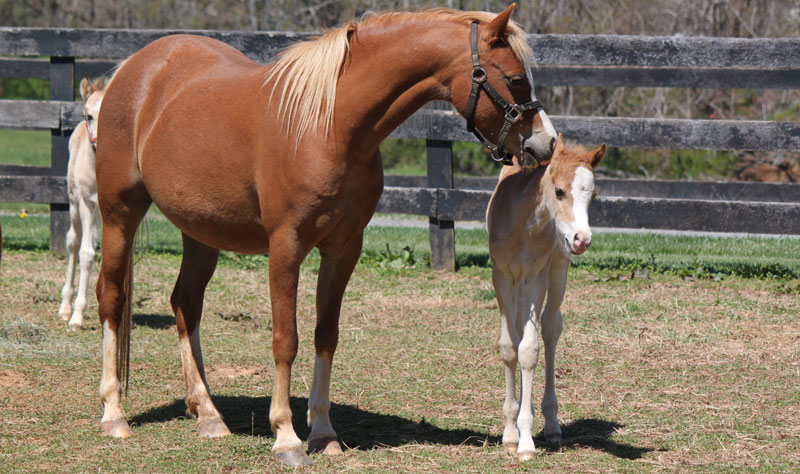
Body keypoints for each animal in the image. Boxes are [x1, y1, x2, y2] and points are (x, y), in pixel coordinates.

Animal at [95, 3, 556, 464]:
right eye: (516, 79)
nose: (546, 144)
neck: (329, 126)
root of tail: (133, 69)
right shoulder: (286, 247)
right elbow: (286, 339)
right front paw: (286, 436)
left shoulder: (343, 248)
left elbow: (325, 335)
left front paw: (322, 431)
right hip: (119, 214)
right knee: (111, 298)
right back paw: (114, 415)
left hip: (201, 233)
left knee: (185, 305)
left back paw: (207, 414)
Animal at [484, 133, 604, 460]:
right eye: (560, 191)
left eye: (593, 195)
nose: (583, 239)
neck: (523, 223)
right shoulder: (501, 275)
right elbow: (509, 347)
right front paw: (510, 433)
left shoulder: (534, 277)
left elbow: (529, 350)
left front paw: (525, 440)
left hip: (557, 269)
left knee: (550, 328)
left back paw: (550, 423)